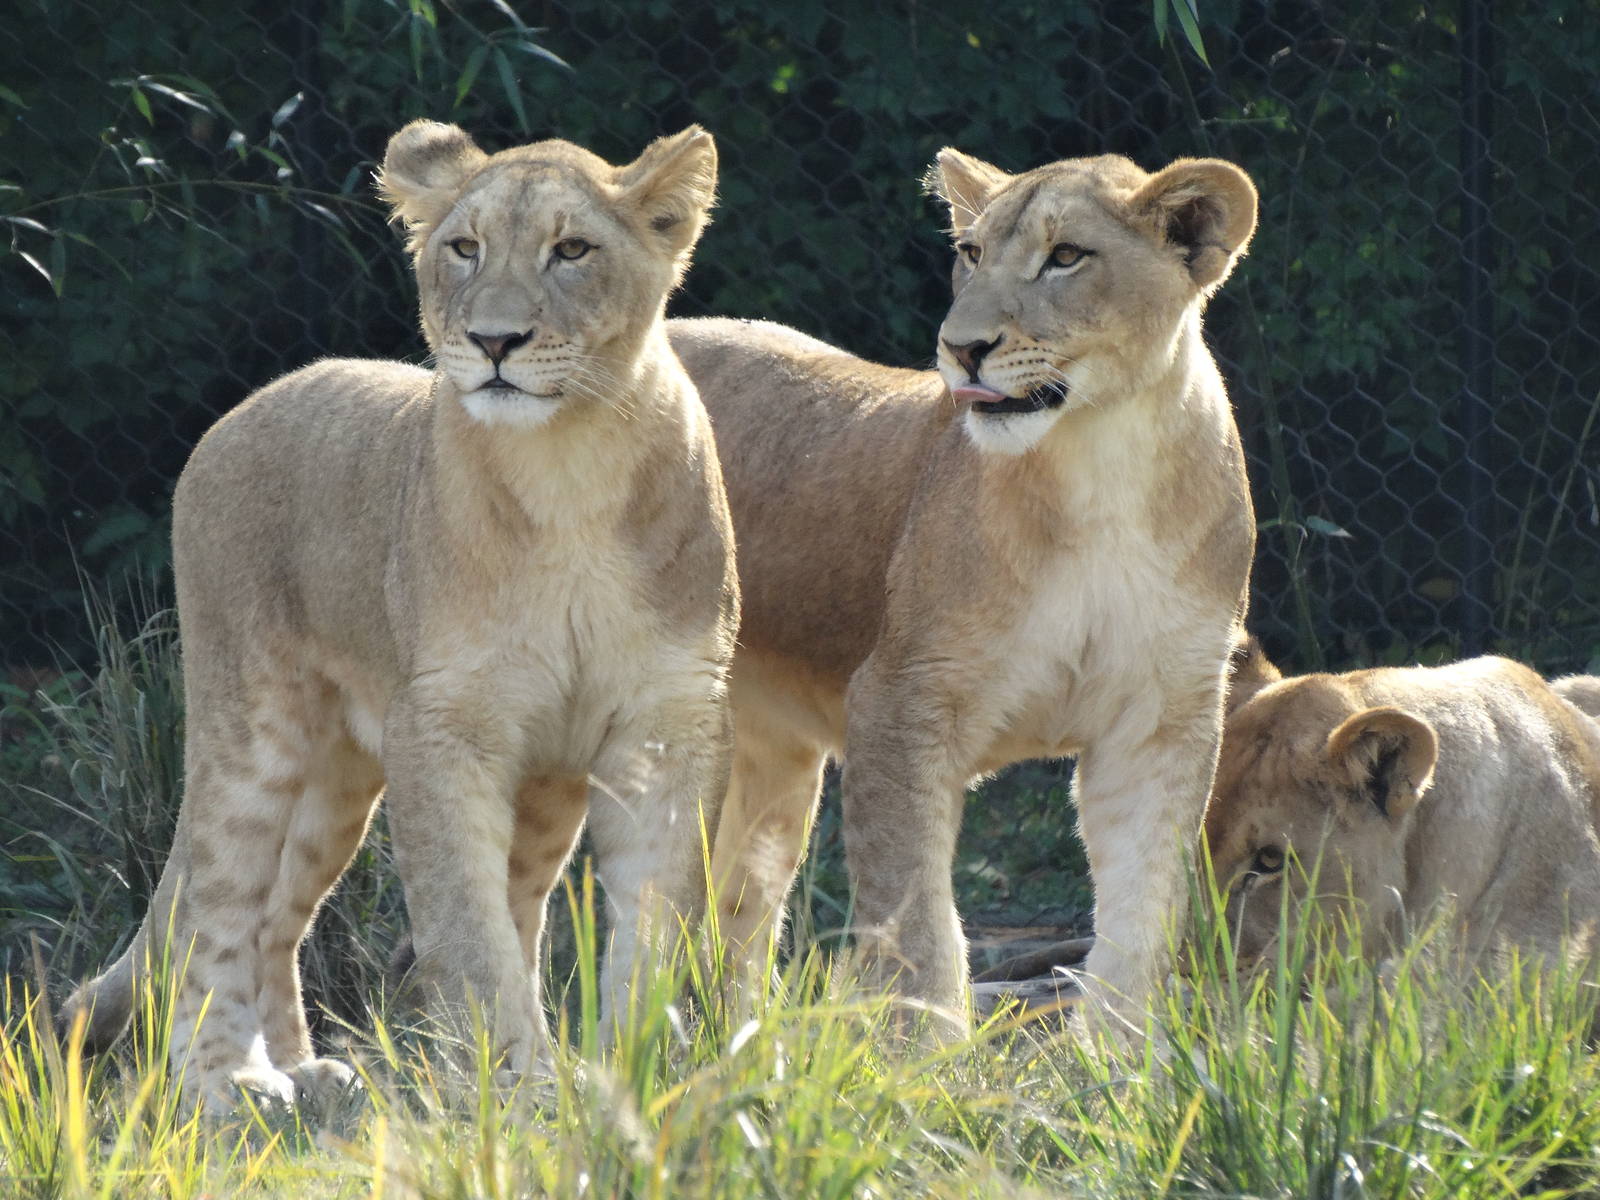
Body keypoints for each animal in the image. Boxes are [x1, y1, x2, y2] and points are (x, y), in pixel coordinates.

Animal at [61, 121, 739, 1110]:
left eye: (573, 250)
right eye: (464, 248)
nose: (495, 340)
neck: (568, 466)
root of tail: (253, 400)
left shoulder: (667, 720)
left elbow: (653, 923)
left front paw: (632, 1071)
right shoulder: (445, 723)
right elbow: (468, 929)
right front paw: (515, 1084)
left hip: (351, 779)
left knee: (281, 917)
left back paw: (304, 1070)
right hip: (251, 729)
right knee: (211, 904)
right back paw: (225, 1087)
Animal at [667, 149, 1259, 1034]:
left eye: (1066, 256)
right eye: (971, 253)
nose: (961, 348)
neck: (1103, 464)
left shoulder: (1162, 719)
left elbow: (1139, 915)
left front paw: (1116, 1059)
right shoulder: (898, 701)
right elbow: (917, 922)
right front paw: (930, 1058)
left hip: (771, 754)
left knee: (738, 907)